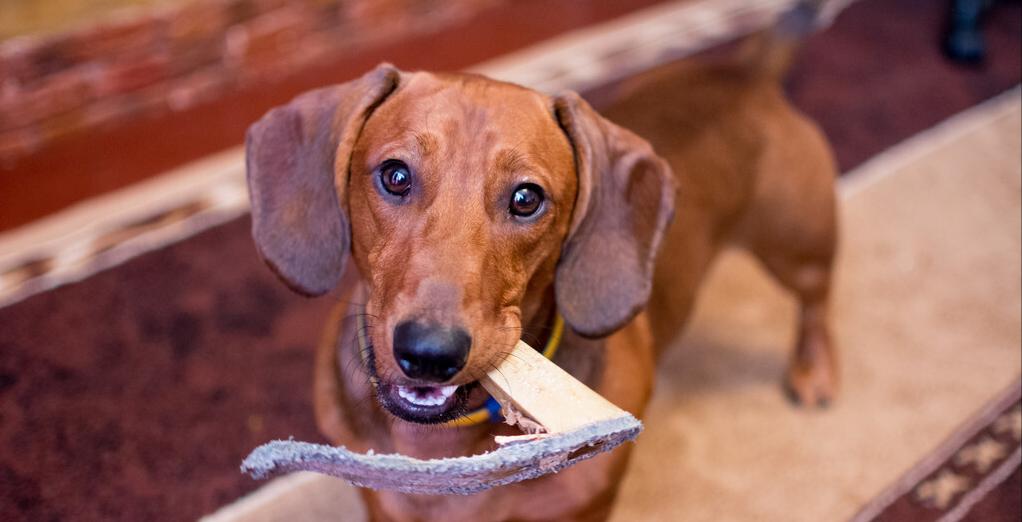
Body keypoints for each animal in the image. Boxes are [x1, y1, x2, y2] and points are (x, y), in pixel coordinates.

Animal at [245, 14, 838, 520]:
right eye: (394, 175)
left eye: (527, 198)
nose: (428, 354)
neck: (448, 448)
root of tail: (743, 73)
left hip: (799, 244)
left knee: (816, 299)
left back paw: (815, 369)